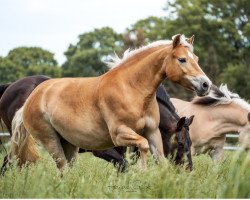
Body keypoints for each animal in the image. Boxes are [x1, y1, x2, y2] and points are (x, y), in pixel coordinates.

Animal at [7, 34, 212, 170]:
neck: (131, 89)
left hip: (69, 145)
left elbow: (158, 158)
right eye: (182, 59)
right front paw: (143, 173)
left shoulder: (152, 132)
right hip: (51, 142)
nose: (206, 84)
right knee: (60, 168)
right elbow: (138, 152)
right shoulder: (118, 137)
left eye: (196, 58)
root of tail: (32, 98)